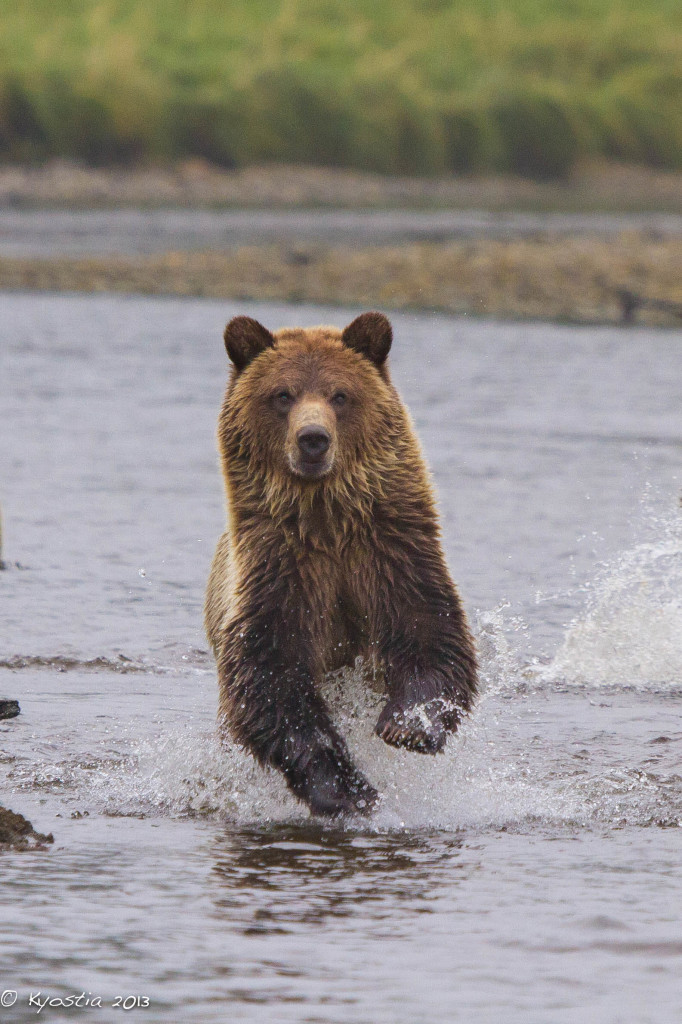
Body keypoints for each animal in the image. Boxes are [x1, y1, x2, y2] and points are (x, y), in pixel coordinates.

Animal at [204, 309, 475, 815]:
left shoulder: (392, 553)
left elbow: (432, 636)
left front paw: (405, 725)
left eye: (340, 394)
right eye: (283, 394)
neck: (327, 523)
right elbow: (271, 679)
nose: (313, 439)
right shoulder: (279, 569)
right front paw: (347, 789)